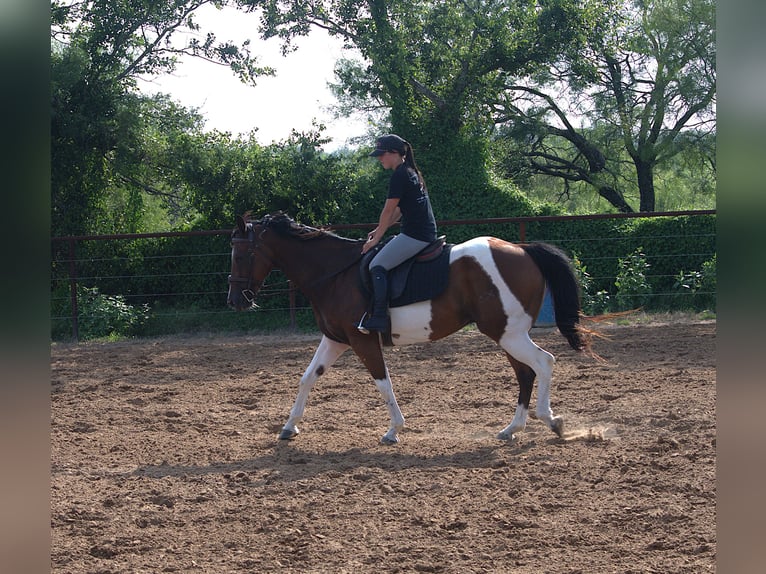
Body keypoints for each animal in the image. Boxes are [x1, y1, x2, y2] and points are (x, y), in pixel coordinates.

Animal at [227, 212, 594, 445]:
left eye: (241, 255)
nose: (235, 301)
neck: (335, 273)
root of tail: (523, 250)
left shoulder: (362, 340)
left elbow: (383, 383)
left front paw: (393, 430)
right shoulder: (335, 340)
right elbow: (307, 378)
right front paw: (289, 427)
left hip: (509, 334)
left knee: (543, 363)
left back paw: (551, 421)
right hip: (507, 335)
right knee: (525, 374)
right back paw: (511, 428)